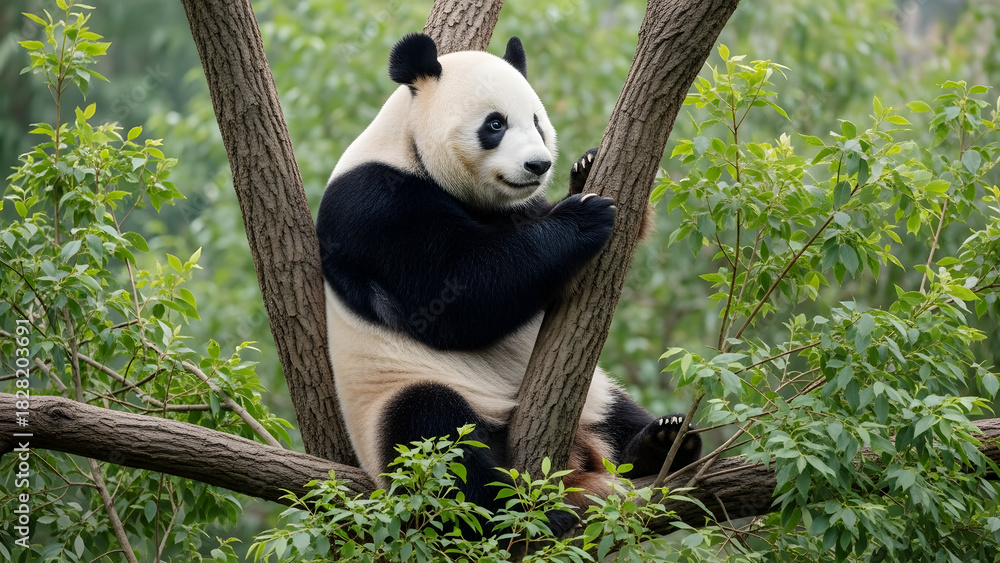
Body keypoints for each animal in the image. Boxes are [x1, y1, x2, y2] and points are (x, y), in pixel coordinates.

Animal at [315, 33, 701, 535]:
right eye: (495, 124)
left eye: (537, 121)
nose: (538, 165)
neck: (408, 147)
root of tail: (578, 456)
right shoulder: (374, 208)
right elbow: (454, 296)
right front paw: (584, 217)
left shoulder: (511, 208)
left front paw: (587, 167)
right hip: (393, 401)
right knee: (433, 433)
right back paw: (514, 512)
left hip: (596, 396)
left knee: (617, 410)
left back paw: (663, 441)